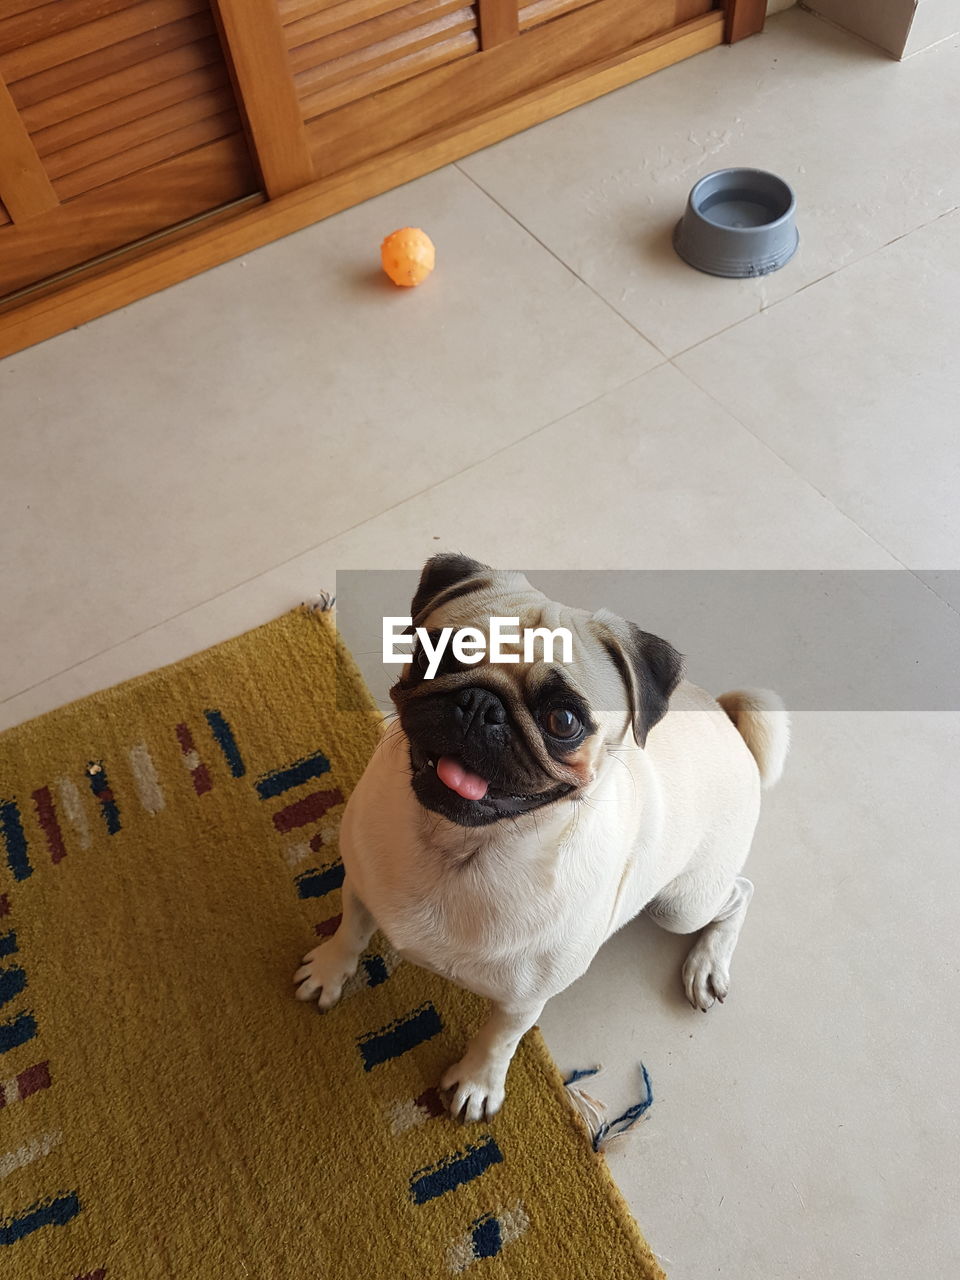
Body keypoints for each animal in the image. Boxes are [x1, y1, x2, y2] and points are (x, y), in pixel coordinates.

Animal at [293, 558, 788, 1121]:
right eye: (433, 658)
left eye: (563, 721)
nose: (479, 704)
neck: (459, 845)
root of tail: (726, 719)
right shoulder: (359, 886)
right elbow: (351, 932)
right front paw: (330, 971)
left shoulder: (522, 1000)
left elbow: (499, 1039)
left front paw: (476, 1083)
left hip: (681, 903)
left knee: (738, 893)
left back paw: (708, 964)